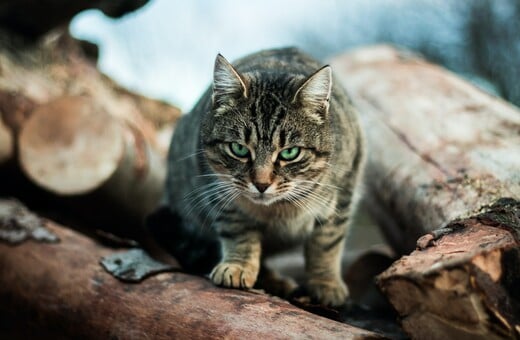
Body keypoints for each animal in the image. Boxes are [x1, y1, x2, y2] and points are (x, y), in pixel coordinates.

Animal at [165, 47, 364, 306]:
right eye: (239, 149)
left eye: (290, 152)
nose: (261, 184)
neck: (278, 210)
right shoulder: (217, 189)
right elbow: (239, 231)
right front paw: (238, 266)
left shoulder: (345, 188)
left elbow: (327, 242)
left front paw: (325, 282)